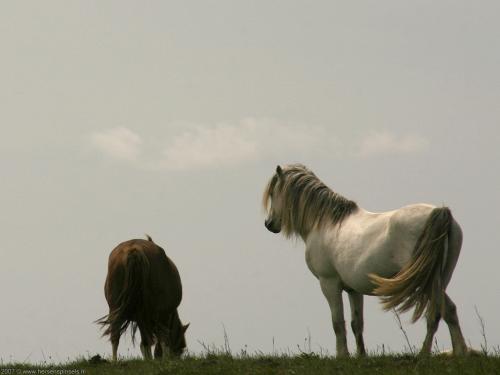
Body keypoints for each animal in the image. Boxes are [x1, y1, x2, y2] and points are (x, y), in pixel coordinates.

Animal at [262, 164, 468, 358]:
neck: (326, 223)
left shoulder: (329, 283)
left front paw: (342, 355)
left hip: (426, 281)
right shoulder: (353, 289)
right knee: (445, 311)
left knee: (440, 312)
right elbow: (356, 323)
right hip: (440, 278)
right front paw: (361, 355)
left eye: (273, 192)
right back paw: (458, 352)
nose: (269, 224)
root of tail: (440, 212)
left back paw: (427, 353)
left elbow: (338, 322)